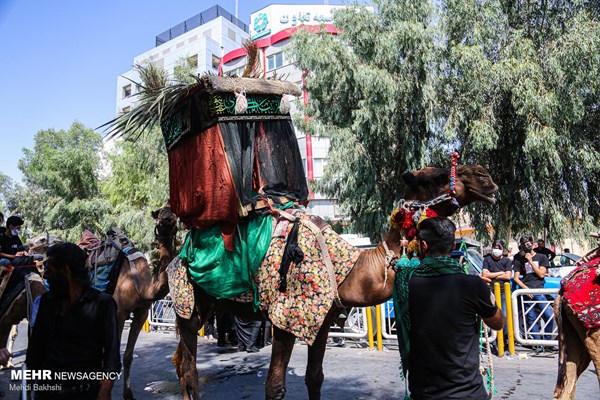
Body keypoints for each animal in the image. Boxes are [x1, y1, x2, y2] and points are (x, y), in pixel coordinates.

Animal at [163, 163, 496, 400]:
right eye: (439, 175)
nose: (486, 177)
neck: (344, 267)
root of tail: (178, 254)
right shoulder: (288, 316)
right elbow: (275, 387)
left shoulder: (321, 322)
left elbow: (315, 379)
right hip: (186, 300)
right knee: (190, 369)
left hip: (206, 305)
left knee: (180, 362)